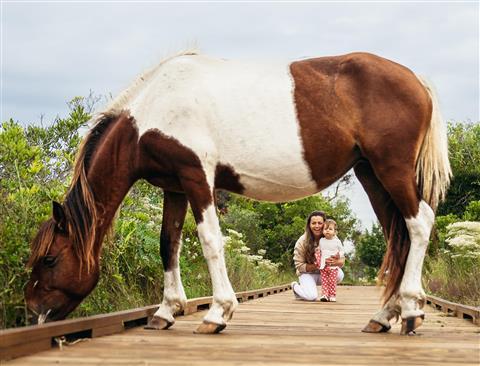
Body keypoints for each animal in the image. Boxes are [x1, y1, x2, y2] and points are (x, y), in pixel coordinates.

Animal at [24, 50, 452, 334]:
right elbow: (168, 244)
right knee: (397, 233)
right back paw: (384, 317)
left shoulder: (197, 177)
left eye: (49, 259)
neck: (153, 110)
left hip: (390, 169)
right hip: (370, 173)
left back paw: (411, 311)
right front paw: (166, 311)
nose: (33, 313)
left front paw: (217, 313)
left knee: (418, 223)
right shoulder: (175, 187)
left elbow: (211, 242)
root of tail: (416, 79)